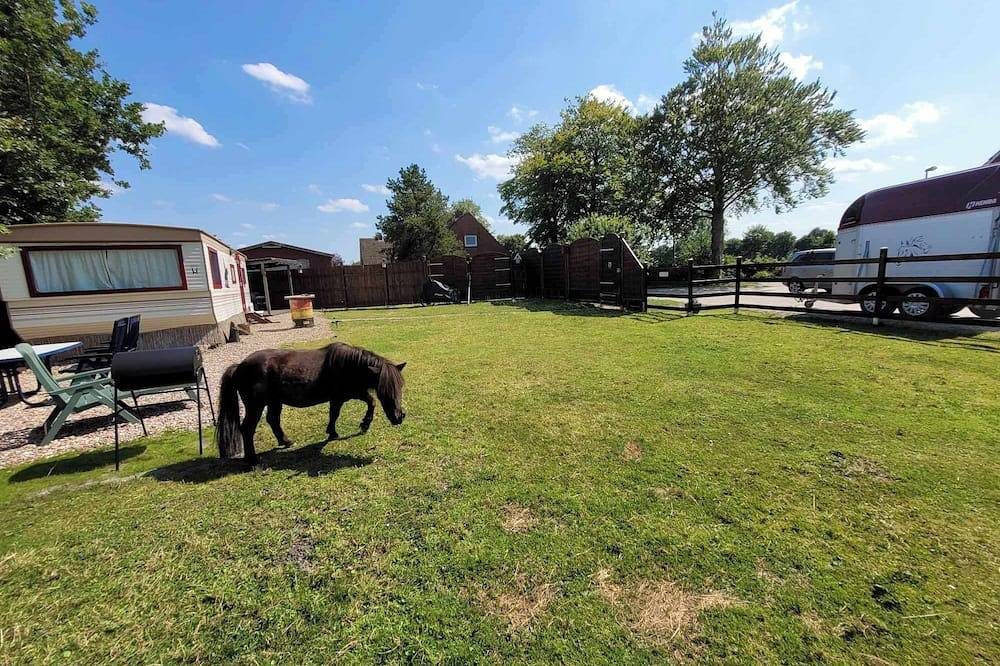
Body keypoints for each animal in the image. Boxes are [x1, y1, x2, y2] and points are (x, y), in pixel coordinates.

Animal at [215, 342, 406, 465]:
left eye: (399, 387)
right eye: (384, 390)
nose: (399, 417)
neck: (347, 365)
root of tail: (239, 366)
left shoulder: (353, 393)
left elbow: (370, 402)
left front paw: (361, 425)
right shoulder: (339, 397)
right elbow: (335, 413)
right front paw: (336, 432)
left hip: (274, 402)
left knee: (273, 420)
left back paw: (286, 441)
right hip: (256, 406)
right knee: (247, 428)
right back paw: (252, 459)